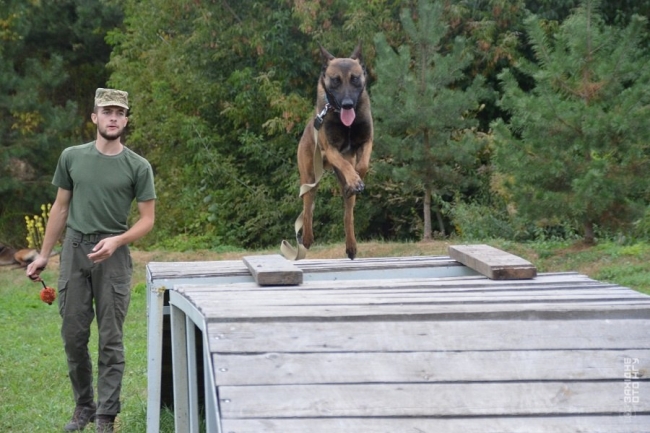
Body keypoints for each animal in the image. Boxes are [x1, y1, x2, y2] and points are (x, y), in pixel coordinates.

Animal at [296, 43, 372, 260]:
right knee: (307, 209)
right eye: (335, 80)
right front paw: (354, 179)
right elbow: (346, 163)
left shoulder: (367, 141)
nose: (347, 104)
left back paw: (351, 245)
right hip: (309, 179)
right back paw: (307, 238)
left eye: (355, 78)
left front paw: (356, 179)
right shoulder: (331, 150)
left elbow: (362, 164)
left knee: (348, 215)